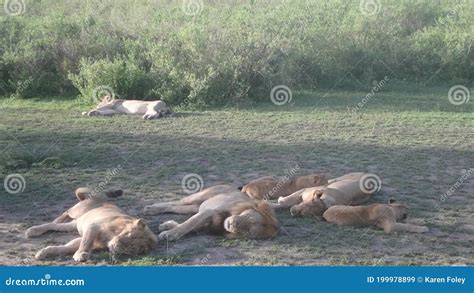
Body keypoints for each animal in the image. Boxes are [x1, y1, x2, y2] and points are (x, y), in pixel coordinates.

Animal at [25, 188, 157, 262]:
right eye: (129, 235)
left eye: (132, 247)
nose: (116, 245)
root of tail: (98, 196)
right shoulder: (93, 226)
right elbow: (85, 242)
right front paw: (80, 255)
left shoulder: (93, 239)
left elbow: (67, 247)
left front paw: (43, 252)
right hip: (77, 210)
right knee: (64, 213)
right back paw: (40, 227)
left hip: (75, 224)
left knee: (53, 226)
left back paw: (34, 231)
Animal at [143, 185, 280, 240]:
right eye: (249, 218)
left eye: (248, 232)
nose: (232, 224)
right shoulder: (209, 212)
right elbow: (189, 223)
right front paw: (169, 234)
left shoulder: (206, 223)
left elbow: (190, 225)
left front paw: (168, 227)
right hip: (199, 196)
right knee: (176, 202)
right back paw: (150, 209)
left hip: (195, 206)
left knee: (175, 207)